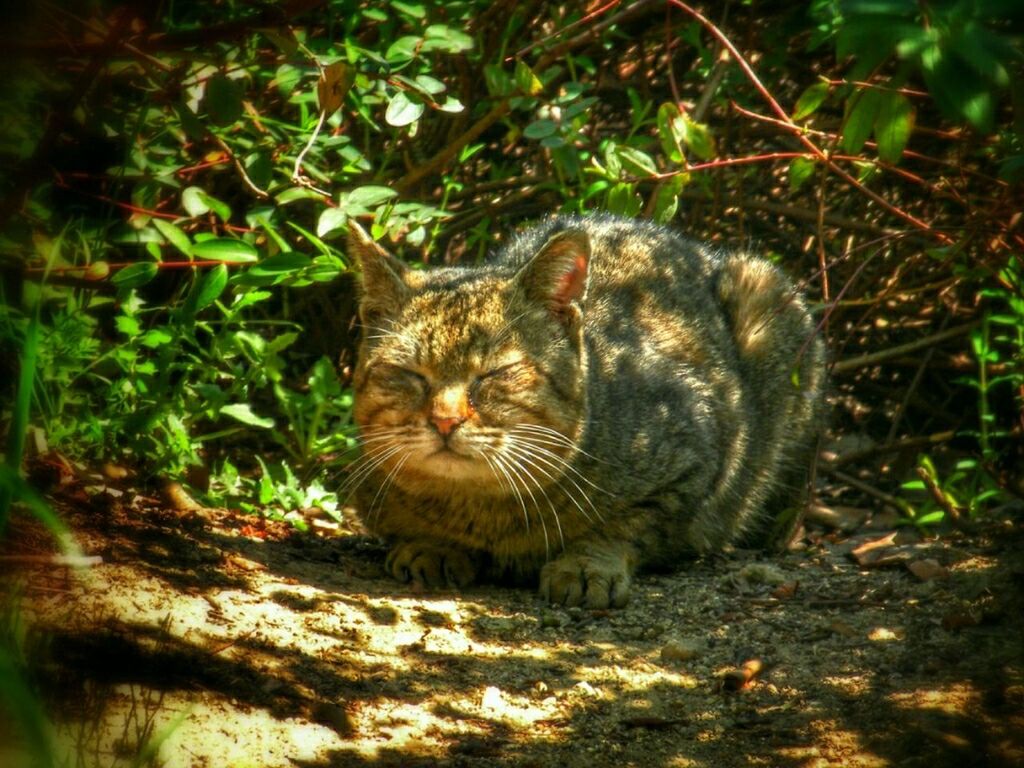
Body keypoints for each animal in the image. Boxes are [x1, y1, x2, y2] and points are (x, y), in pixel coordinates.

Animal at [344, 215, 823, 606]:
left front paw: (587, 562)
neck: (485, 512)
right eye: (409, 374)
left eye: (495, 373)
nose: (445, 419)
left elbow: (627, 525)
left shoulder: (694, 460)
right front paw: (435, 544)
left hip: (767, 295)